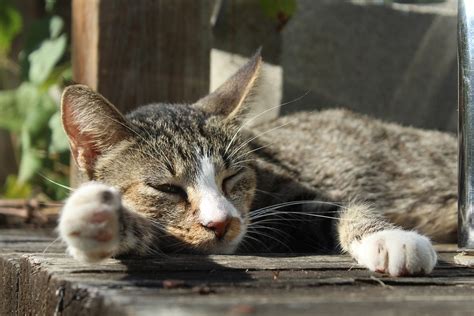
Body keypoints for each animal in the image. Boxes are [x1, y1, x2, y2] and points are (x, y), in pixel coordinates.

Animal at [57, 51, 454, 276]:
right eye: (167, 188)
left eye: (232, 176)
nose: (222, 223)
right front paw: (100, 218)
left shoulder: (294, 194)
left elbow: (347, 207)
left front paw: (391, 238)